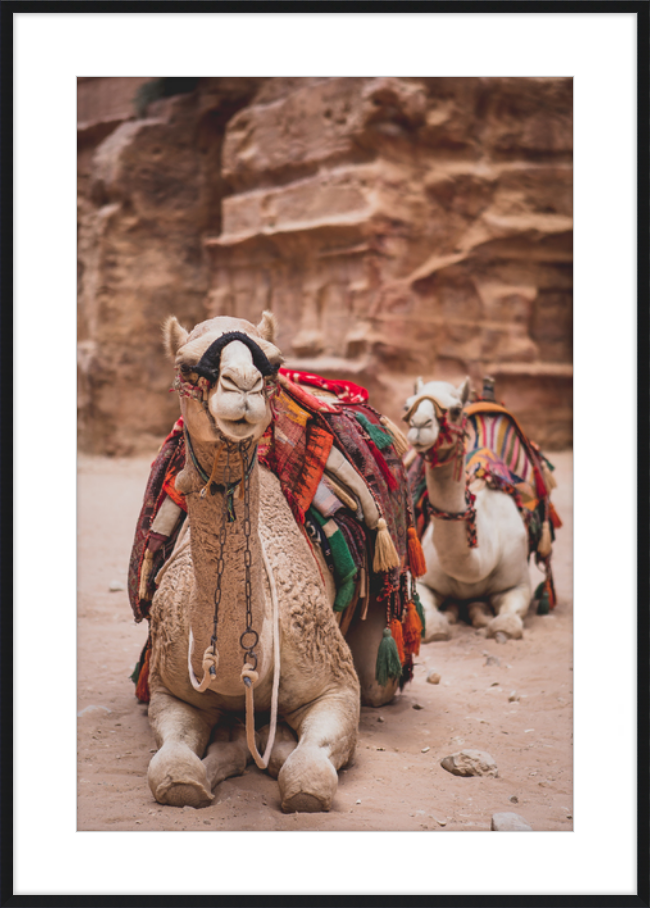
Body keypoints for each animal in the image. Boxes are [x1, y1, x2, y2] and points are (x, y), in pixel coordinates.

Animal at [128, 310, 420, 808]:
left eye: (272, 363)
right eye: (186, 364)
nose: (242, 385)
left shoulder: (338, 687)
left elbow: (306, 778)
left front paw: (271, 742)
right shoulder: (170, 692)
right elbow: (172, 774)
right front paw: (217, 759)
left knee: (378, 674)